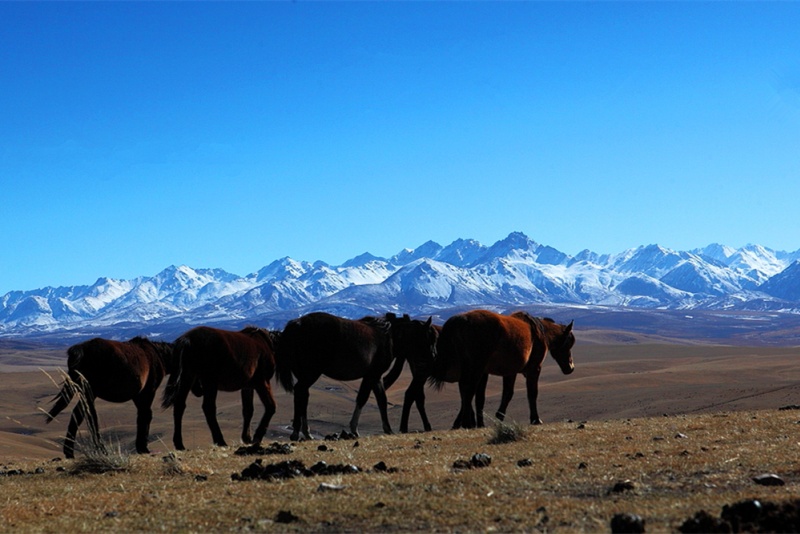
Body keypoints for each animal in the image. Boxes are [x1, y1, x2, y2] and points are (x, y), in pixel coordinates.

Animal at [45, 340, 175, 460]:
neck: (158, 355)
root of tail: (80, 349)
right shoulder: (147, 392)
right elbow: (146, 416)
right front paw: (143, 448)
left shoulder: (138, 396)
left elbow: (142, 416)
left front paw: (141, 447)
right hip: (90, 391)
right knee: (90, 416)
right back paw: (101, 450)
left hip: (85, 392)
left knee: (78, 414)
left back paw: (69, 452)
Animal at [276, 312, 438, 442]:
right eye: (430, 337)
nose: (433, 357)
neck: (389, 336)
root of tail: (297, 324)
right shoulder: (375, 375)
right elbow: (380, 400)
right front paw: (386, 429)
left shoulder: (370, 377)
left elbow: (364, 398)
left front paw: (355, 429)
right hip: (311, 374)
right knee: (300, 393)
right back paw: (297, 433)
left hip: (305, 375)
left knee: (302, 396)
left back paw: (305, 433)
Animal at [428, 310, 572, 432]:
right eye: (568, 344)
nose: (570, 368)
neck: (540, 333)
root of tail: (460, 320)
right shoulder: (534, 369)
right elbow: (532, 394)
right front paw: (535, 419)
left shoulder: (510, 372)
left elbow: (507, 394)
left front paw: (499, 417)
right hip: (475, 369)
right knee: (468, 391)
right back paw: (467, 423)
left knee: (466, 392)